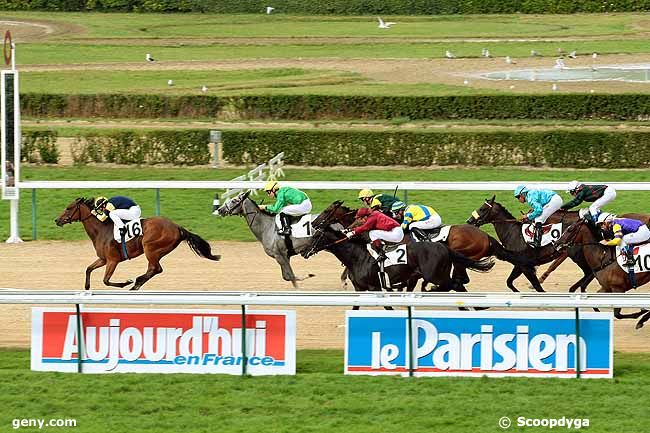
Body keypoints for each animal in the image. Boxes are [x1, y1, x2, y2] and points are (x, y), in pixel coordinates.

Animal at [56, 197, 218, 290]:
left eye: (69, 208)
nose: (57, 220)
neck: (101, 230)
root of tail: (178, 227)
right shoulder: (103, 259)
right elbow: (88, 269)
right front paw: (87, 286)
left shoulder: (113, 260)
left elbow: (106, 280)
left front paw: (126, 282)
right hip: (156, 251)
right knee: (154, 269)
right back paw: (138, 283)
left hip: (150, 247)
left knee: (156, 268)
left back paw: (136, 282)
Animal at [215, 190, 354, 286]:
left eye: (234, 200)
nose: (220, 209)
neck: (267, 227)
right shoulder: (284, 255)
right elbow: (287, 276)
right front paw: (307, 275)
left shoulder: (279, 255)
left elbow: (291, 277)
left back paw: (344, 279)